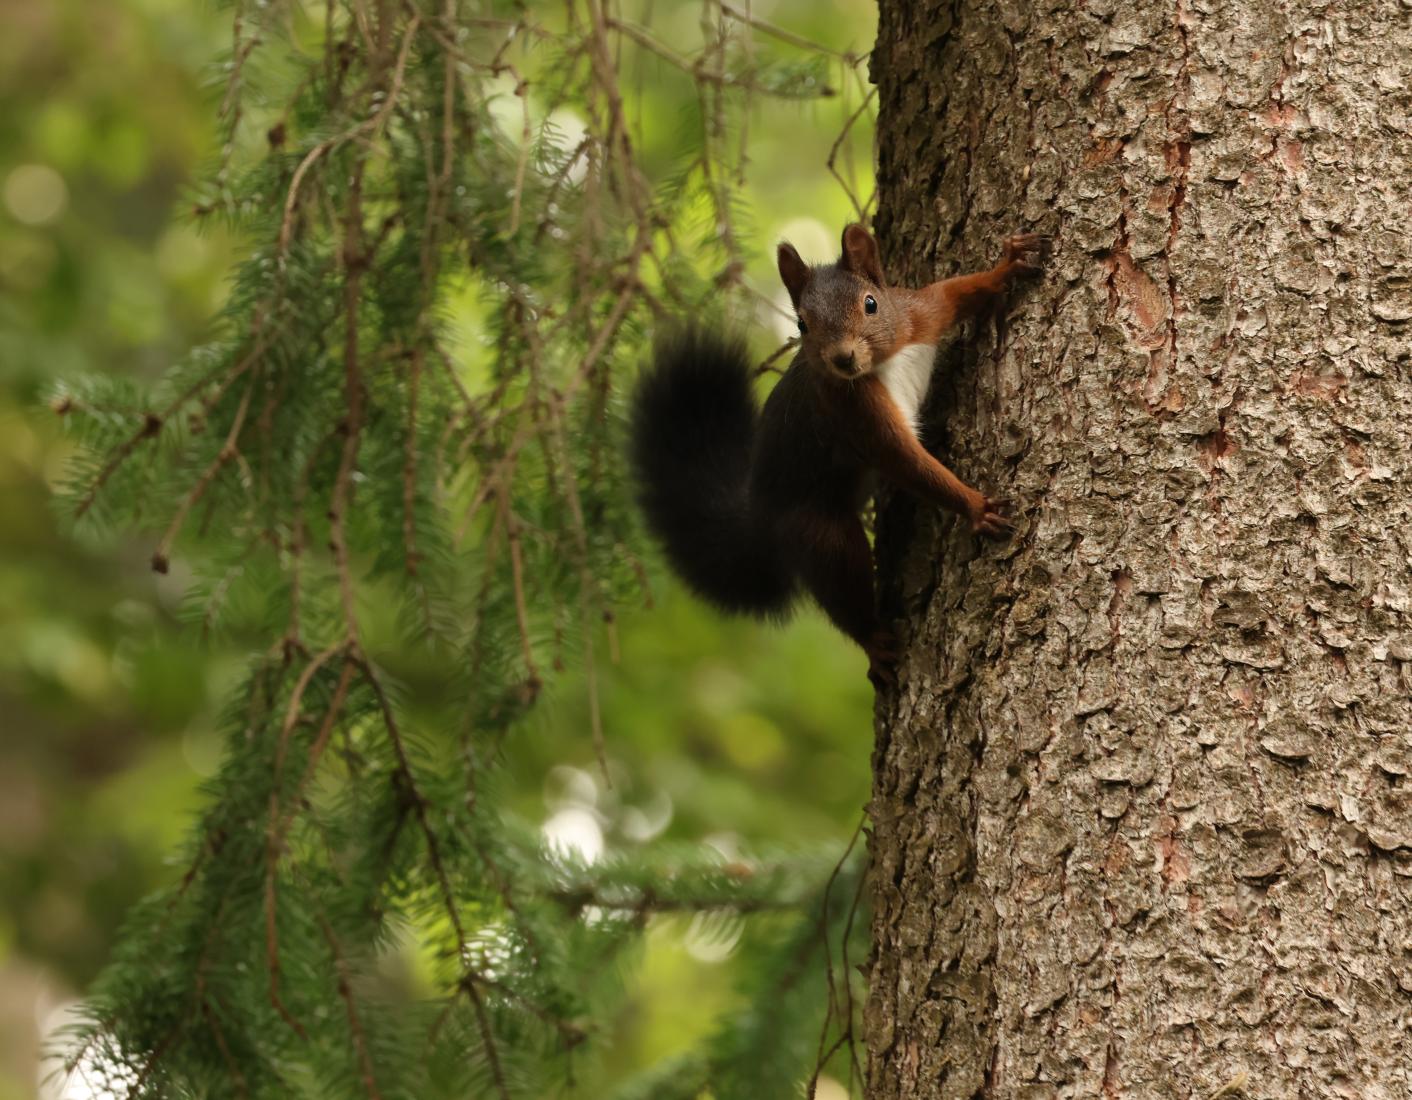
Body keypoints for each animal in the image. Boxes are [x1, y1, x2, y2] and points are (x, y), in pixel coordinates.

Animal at [629, 221, 1050, 689]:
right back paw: (874, 643)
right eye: (802, 323)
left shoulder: (917, 314)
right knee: (843, 591)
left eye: (871, 304)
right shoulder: (856, 414)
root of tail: (760, 514)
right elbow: (910, 466)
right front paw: (976, 507)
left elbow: (955, 291)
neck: (883, 360)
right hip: (821, 536)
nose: (842, 358)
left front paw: (1007, 266)